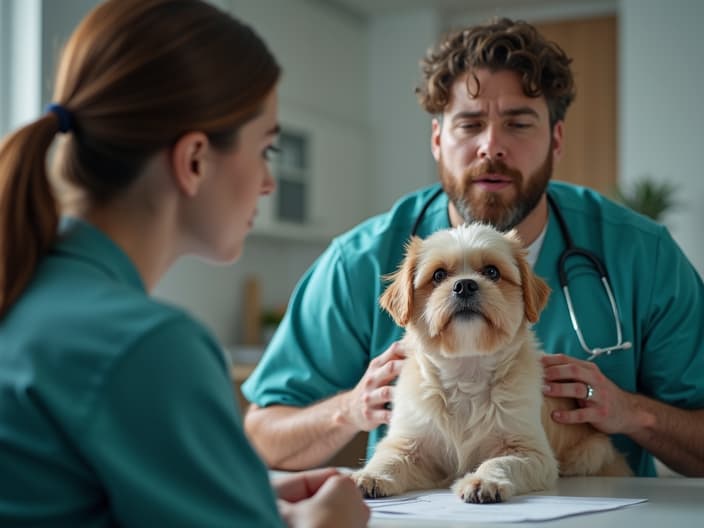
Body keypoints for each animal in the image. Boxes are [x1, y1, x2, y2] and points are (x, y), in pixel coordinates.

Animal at [354, 223, 628, 504]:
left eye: (492, 272)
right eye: (439, 275)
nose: (464, 285)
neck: (467, 371)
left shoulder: (532, 453)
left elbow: (499, 462)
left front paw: (483, 481)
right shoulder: (409, 444)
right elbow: (389, 459)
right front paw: (370, 476)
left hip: (592, 452)